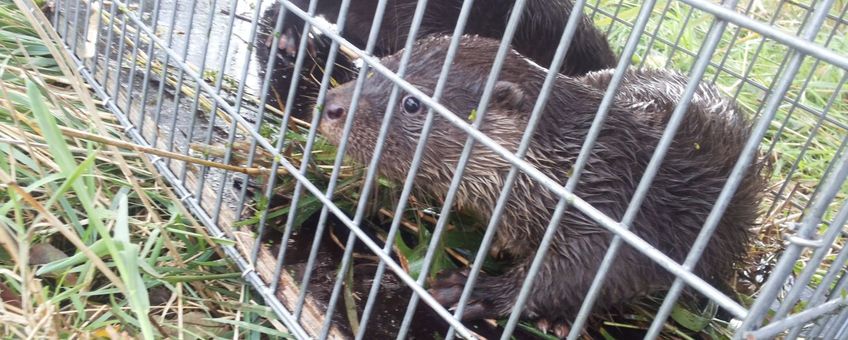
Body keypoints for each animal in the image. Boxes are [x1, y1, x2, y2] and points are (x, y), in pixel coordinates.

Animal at [314, 34, 764, 334]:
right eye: (382, 62)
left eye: (412, 103)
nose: (331, 105)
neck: (576, 166)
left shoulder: (617, 209)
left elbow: (585, 273)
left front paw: (476, 290)